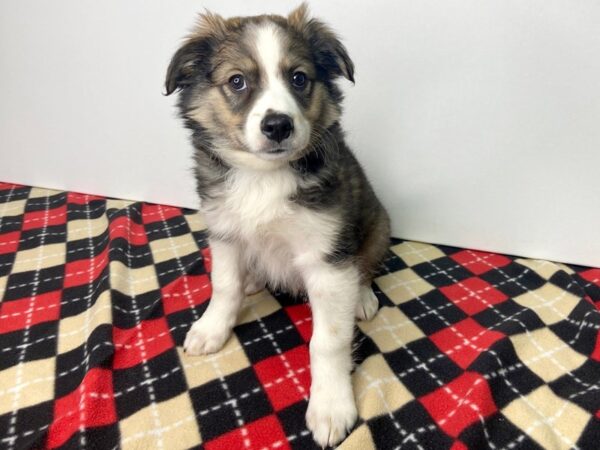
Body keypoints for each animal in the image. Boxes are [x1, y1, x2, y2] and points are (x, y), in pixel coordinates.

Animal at [165, 4, 390, 446]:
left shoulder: (326, 257)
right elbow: (224, 284)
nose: (278, 125)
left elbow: (328, 341)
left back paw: (362, 297)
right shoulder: (224, 231)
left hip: (377, 224)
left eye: (299, 78)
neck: (262, 177)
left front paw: (330, 407)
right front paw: (212, 328)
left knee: (366, 266)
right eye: (237, 81)